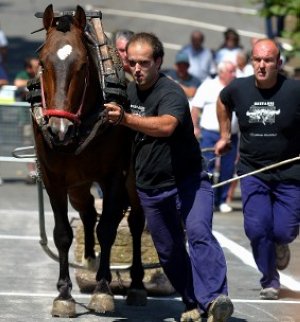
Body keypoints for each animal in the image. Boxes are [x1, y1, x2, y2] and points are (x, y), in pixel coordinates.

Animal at [28, 3, 146, 318]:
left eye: (82, 66)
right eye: (42, 62)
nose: (59, 130)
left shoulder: (114, 175)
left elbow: (108, 229)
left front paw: (103, 290)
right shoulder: (54, 179)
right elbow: (63, 234)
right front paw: (64, 295)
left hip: (130, 180)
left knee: (136, 220)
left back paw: (136, 284)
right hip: (78, 185)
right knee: (88, 213)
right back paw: (91, 261)